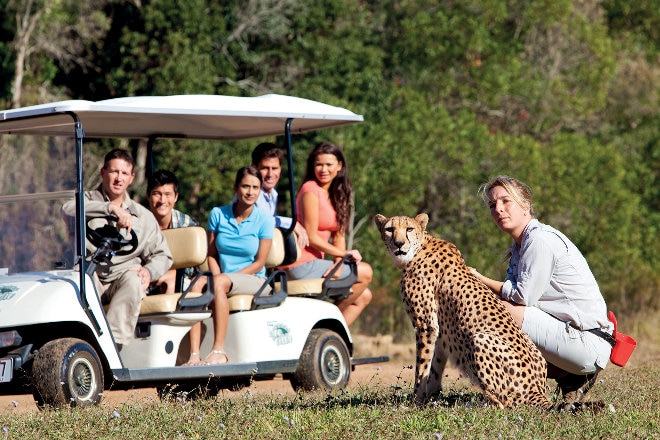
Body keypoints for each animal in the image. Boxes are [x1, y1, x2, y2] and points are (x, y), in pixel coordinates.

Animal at [374, 213, 548, 410]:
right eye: (389, 229)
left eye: (409, 229)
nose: (398, 243)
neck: (417, 250)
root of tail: (537, 389)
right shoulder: (440, 330)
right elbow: (435, 367)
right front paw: (430, 399)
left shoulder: (425, 325)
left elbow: (422, 366)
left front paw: (416, 401)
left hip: (479, 339)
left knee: (506, 403)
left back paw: (479, 404)